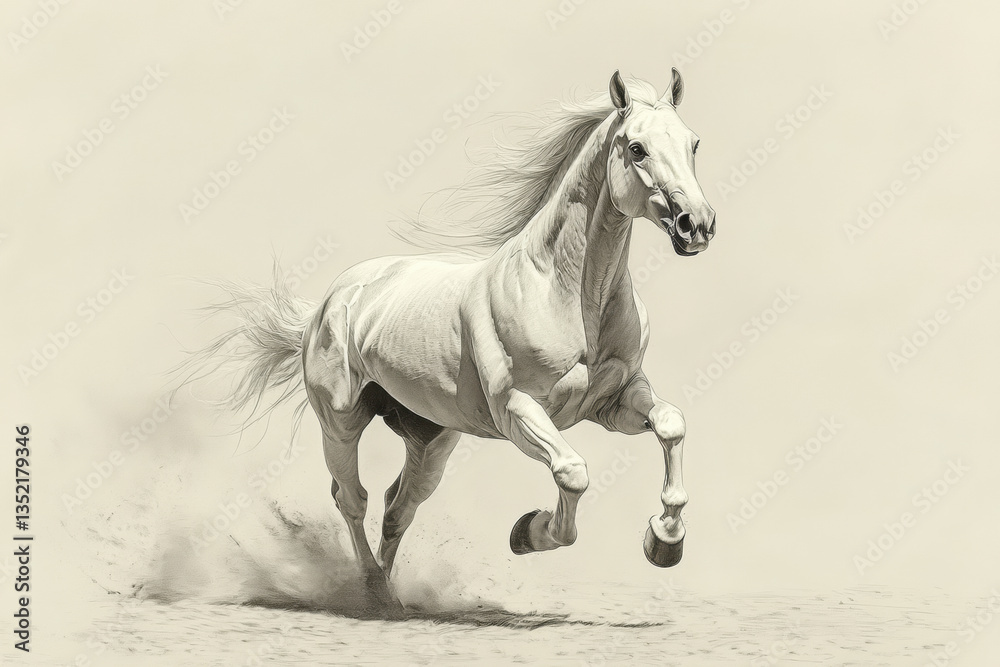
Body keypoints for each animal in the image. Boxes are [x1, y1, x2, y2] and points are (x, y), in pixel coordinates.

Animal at [190, 69, 716, 611]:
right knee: (352, 498)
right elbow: (572, 472)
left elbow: (671, 425)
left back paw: (391, 595)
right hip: (340, 423)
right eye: (636, 148)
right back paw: (374, 593)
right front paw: (528, 532)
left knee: (398, 505)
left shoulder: (615, 400)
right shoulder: (518, 411)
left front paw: (665, 540)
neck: (566, 295)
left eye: (693, 143)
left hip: (431, 439)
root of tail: (328, 304)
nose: (695, 225)